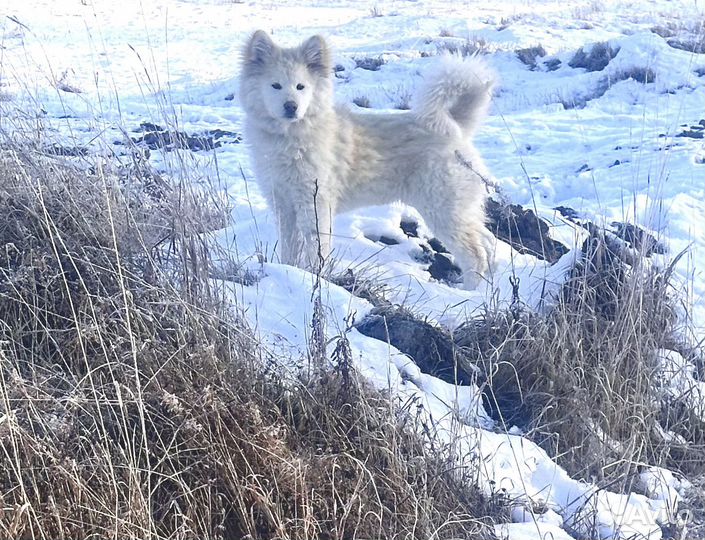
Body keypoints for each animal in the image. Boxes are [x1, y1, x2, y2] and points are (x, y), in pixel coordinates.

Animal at [239, 30, 498, 286]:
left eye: (301, 86)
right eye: (275, 85)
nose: (291, 106)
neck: (290, 137)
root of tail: (457, 128)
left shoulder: (315, 204)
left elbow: (316, 249)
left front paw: (313, 278)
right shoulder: (283, 204)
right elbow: (289, 248)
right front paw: (288, 270)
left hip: (445, 210)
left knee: (474, 255)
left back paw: (470, 292)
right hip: (461, 210)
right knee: (487, 243)